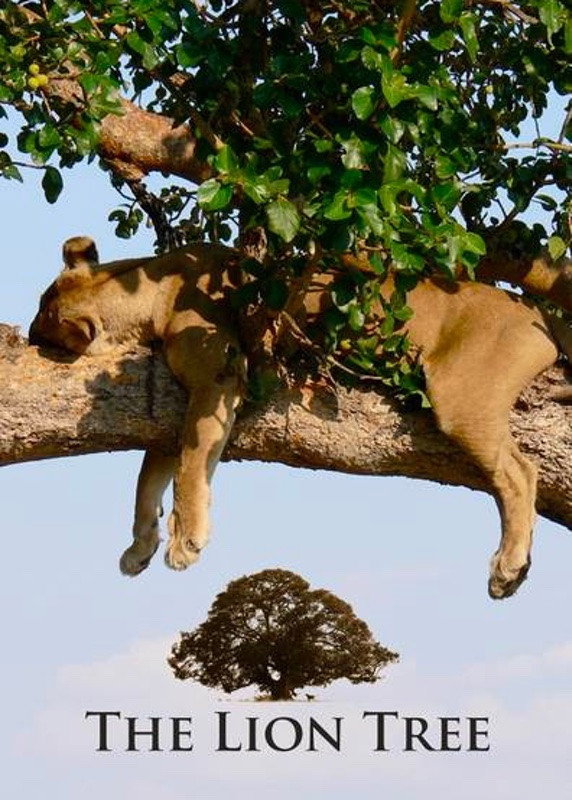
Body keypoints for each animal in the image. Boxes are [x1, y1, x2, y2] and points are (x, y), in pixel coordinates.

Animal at [29, 236, 572, 599]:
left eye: (41, 320)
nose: (29, 336)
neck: (149, 284)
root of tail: (538, 314)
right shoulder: (171, 409)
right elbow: (150, 476)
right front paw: (140, 546)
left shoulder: (219, 379)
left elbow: (189, 465)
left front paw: (185, 541)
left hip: (461, 394)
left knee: (520, 474)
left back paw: (507, 568)